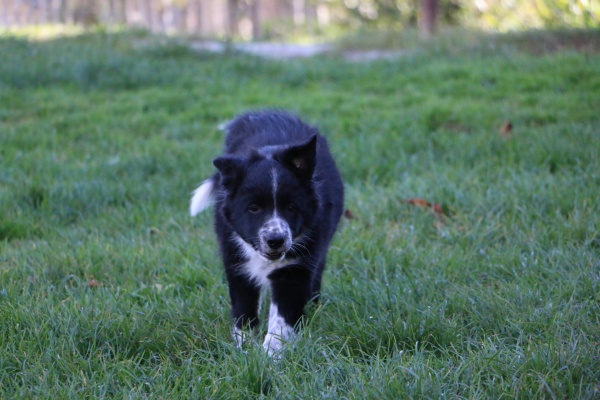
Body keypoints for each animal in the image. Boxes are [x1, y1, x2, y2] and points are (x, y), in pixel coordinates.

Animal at [190, 110, 344, 355]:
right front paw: (245, 351)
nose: (275, 240)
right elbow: (243, 311)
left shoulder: (295, 267)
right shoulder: (236, 261)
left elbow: (281, 319)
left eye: (291, 207)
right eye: (254, 208)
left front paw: (271, 356)